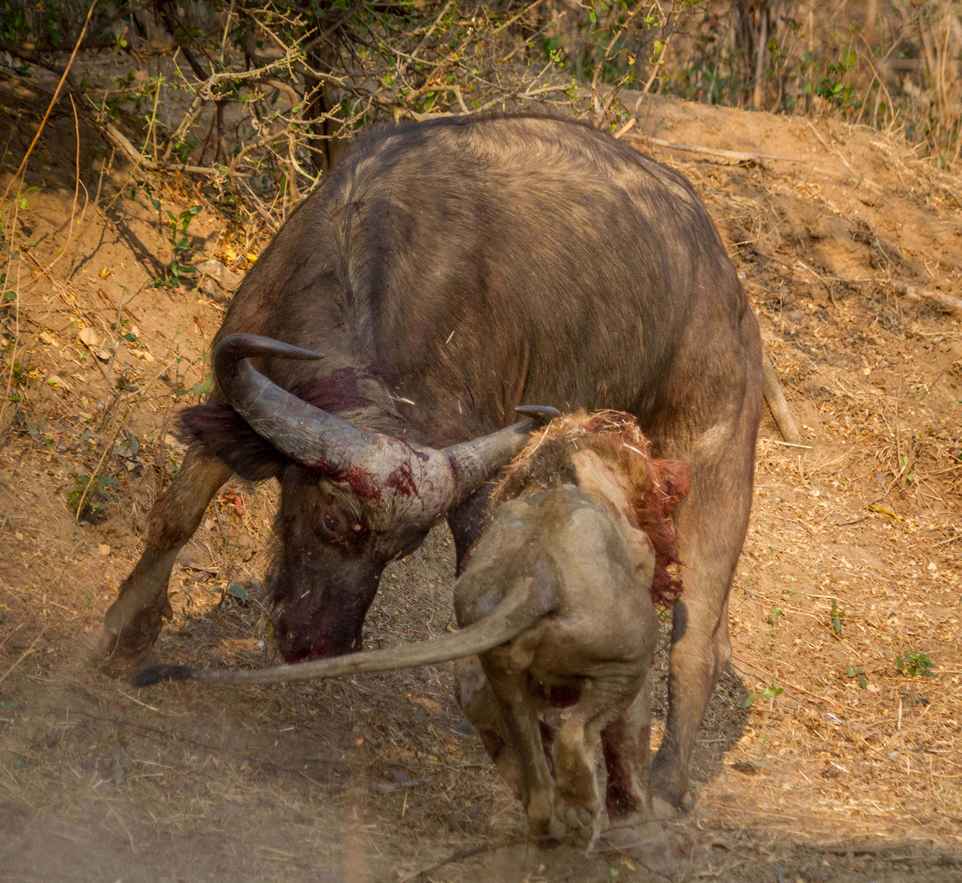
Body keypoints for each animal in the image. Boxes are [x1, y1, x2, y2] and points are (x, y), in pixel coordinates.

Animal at [99, 114, 756, 820]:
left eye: (401, 549)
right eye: (332, 523)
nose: (319, 644)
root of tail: (725, 280)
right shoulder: (241, 390)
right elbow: (176, 514)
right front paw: (124, 635)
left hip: (715, 466)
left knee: (695, 642)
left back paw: (662, 785)